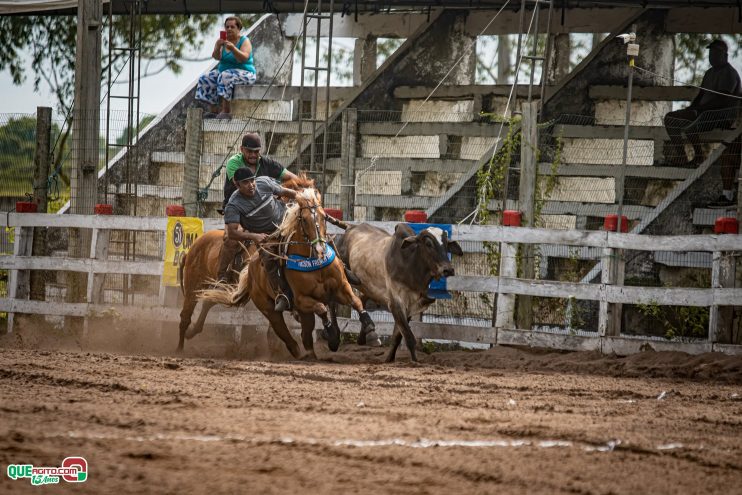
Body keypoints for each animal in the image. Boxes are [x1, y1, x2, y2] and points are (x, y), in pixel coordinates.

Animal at [202, 177, 372, 360]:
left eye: (323, 217)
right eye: (304, 219)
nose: (320, 249)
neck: (311, 261)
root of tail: (250, 271)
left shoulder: (340, 288)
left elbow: (355, 301)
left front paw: (369, 326)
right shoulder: (301, 300)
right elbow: (321, 308)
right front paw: (331, 334)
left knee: (306, 335)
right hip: (269, 308)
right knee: (286, 333)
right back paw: (300, 352)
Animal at [332, 223, 462, 362]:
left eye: (446, 244)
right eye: (428, 243)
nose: (448, 269)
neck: (410, 265)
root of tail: (351, 227)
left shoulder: (410, 305)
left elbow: (397, 336)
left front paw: (389, 359)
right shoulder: (396, 303)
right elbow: (409, 337)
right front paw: (415, 362)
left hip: (368, 288)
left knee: (360, 300)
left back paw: (368, 336)